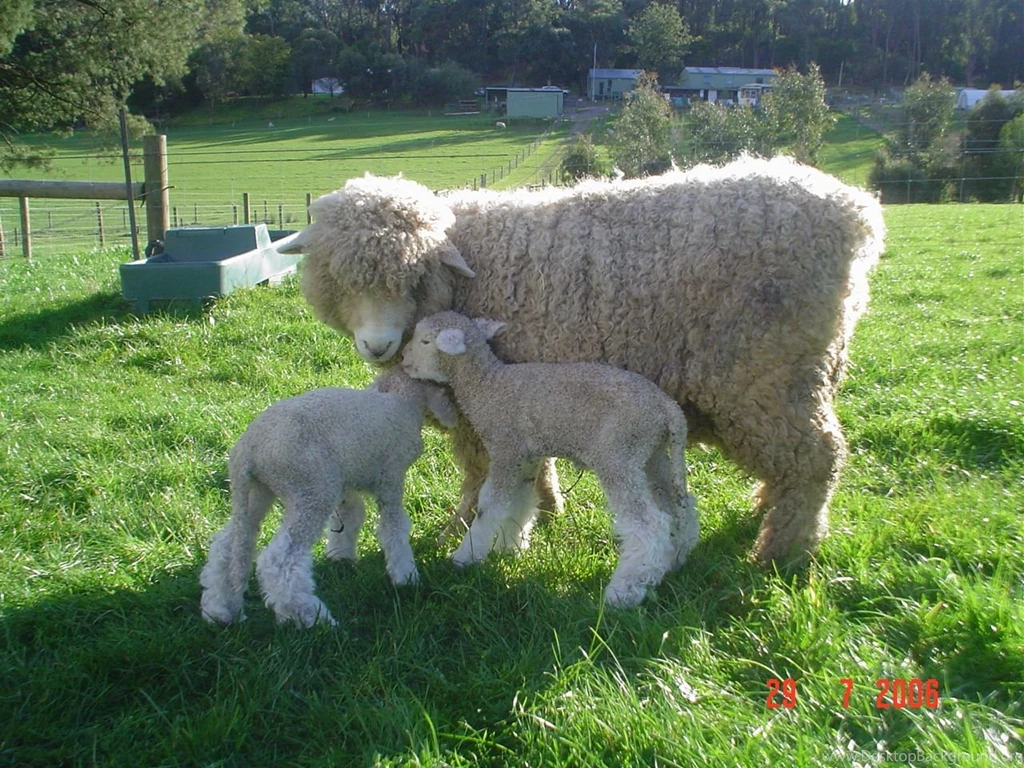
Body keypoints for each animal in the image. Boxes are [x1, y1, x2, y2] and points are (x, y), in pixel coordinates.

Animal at [199, 368, 457, 628]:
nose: (455, 415)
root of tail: (247, 450)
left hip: (256, 493)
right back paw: (311, 617)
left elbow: (350, 515)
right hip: (311, 490)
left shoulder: (344, 480)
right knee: (280, 560)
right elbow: (394, 528)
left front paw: (341, 556)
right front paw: (406, 576)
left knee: (228, 547)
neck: (402, 400)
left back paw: (220, 610)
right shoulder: (390, 477)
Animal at [279, 155, 885, 565]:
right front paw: (547, 509)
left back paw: (784, 552)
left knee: (816, 457)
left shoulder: (481, 406)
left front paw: (462, 528)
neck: (466, 268)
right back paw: (767, 512)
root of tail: (857, 214)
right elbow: (533, 463)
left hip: (767, 373)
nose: (378, 346)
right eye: (336, 277)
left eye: (412, 276)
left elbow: (478, 471)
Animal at [402, 311, 699, 607]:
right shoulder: (525, 458)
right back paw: (672, 561)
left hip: (619, 454)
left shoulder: (506, 448)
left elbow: (490, 505)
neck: (486, 385)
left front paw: (466, 556)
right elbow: (520, 502)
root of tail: (668, 409)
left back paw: (625, 591)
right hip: (652, 455)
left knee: (650, 523)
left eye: (425, 341)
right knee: (680, 508)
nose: (404, 360)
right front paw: (509, 547)